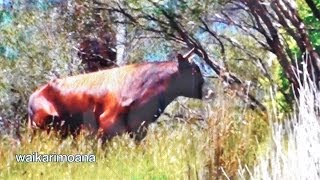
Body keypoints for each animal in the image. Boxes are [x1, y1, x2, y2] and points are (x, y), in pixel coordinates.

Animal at [26, 48, 202, 141]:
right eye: (195, 70)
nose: (204, 86)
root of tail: (34, 94)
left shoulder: (139, 127)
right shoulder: (107, 123)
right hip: (39, 127)